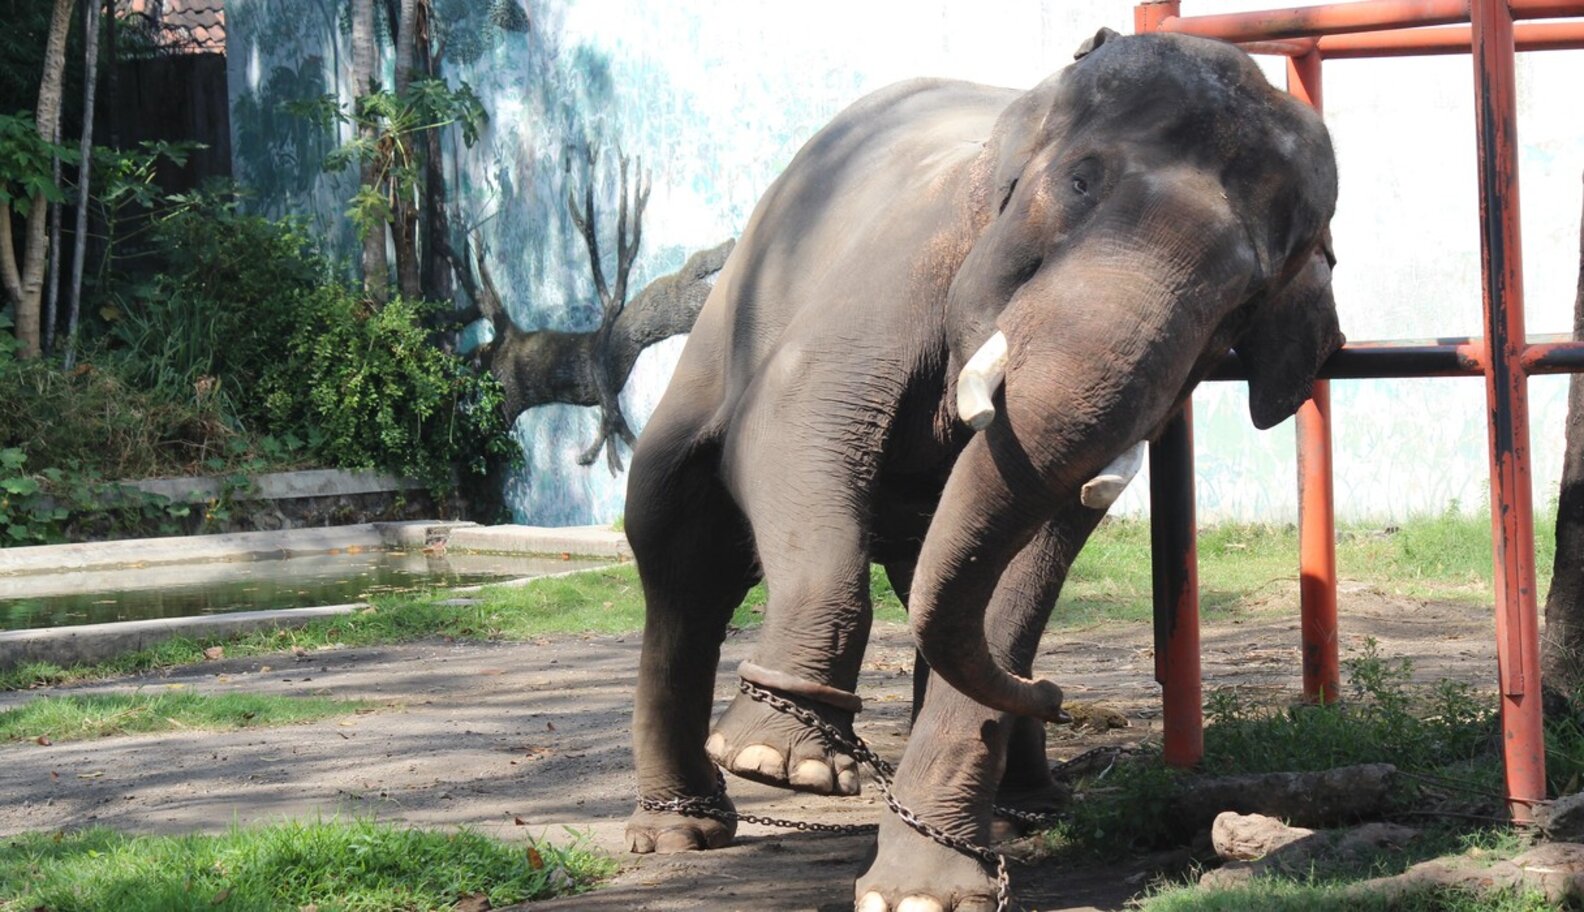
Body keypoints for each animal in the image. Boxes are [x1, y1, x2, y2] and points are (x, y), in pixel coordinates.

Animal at [621, 27, 1341, 912]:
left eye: (1244, 303)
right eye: (1081, 180)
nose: (1061, 701)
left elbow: (1032, 557)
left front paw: (919, 893)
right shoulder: (901, 263)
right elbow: (791, 428)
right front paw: (788, 763)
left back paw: (1029, 805)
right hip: (715, 343)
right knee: (681, 555)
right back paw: (683, 828)